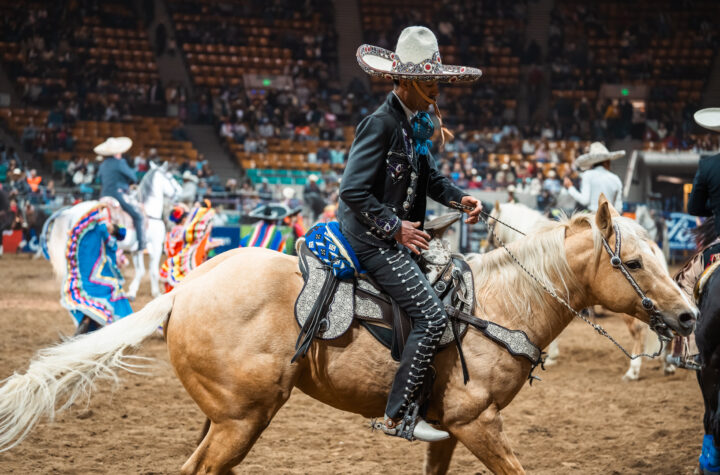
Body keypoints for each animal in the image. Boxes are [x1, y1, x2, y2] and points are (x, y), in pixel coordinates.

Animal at [43, 162, 181, 300]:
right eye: (170, 177)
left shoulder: (136, 250)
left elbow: (140, 270)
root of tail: (69, 211)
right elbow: (152, 271)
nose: (179, 191)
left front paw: (131, 292)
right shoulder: (156, 246)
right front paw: (156, 293)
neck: (148, 211)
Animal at [478, 201, 676, 380]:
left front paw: (552, 357)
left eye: (491, 223)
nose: (484, 247)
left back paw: (633, 371)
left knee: (639, 331)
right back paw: (667, 365)